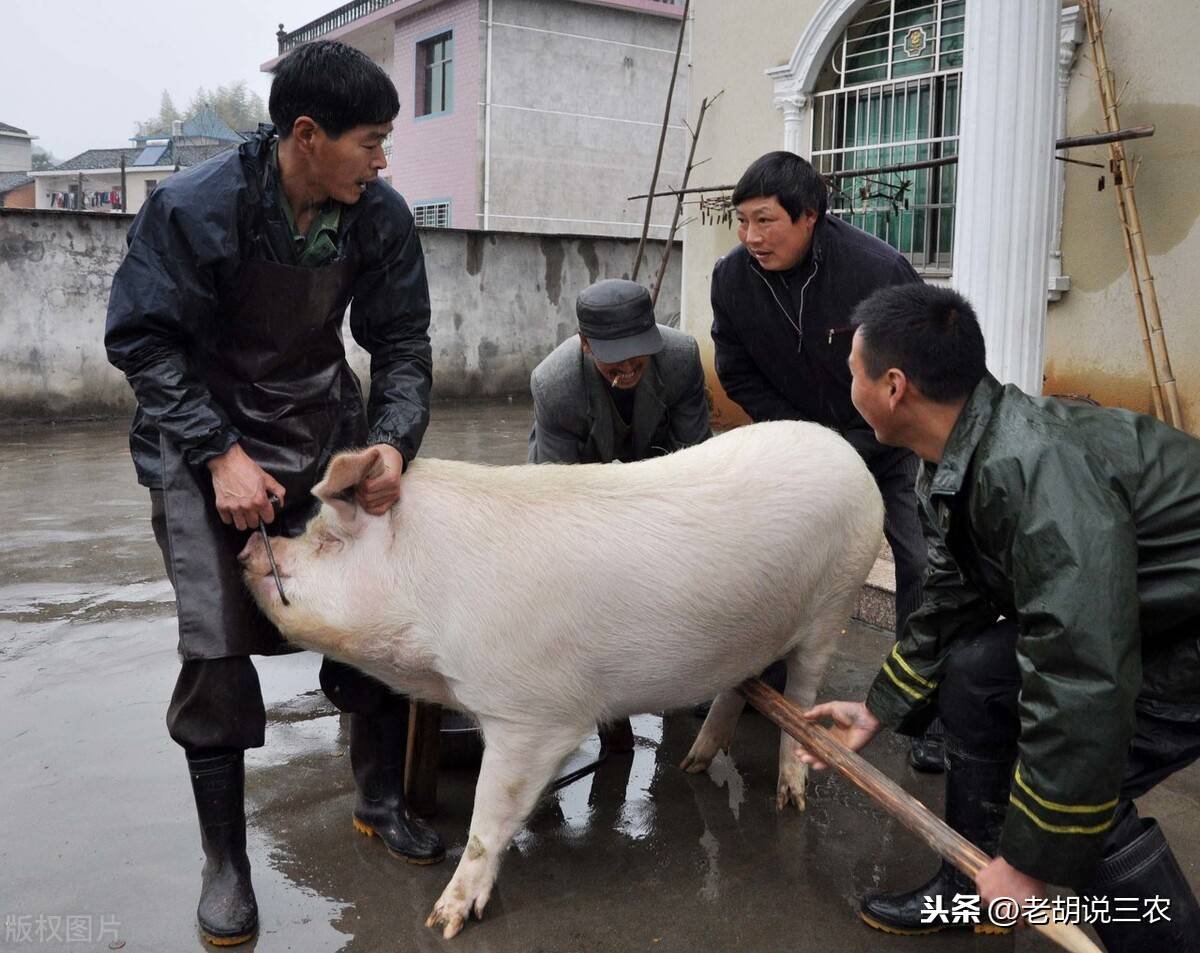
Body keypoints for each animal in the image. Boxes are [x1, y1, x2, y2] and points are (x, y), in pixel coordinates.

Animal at [241, 422, 883, 936]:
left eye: (328, 540)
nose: (250, 545)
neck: (431, 591)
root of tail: (847, 450)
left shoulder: (531, 714)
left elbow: (488, 816)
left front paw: (444, 920)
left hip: (834, 601)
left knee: (802, 700)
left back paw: (790, 798)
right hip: (750, 631)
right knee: (734, 686)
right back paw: (691, 766)